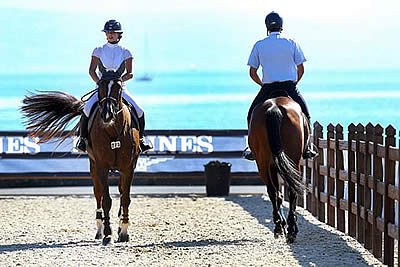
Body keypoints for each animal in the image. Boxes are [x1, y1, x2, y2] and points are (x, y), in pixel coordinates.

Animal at [22, 78, 141, 246]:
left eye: (118, 88)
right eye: (100, 86)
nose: (107, 115)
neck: (113, 132)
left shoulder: (129, 167)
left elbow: (125, 198)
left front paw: (123, 231)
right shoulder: (102, 167)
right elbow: (106, 200)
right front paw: (107, 234)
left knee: (121, 191)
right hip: (93, 166)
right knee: (98, 194)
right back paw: (99, 230)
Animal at [248, 95, 308, 244]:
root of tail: (274, 107)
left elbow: (278, 194)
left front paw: (282, 225)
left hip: (263, 162)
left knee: (273, 192)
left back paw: (281, 227)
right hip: (292, 161)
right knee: (290, 191)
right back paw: (289, 230)